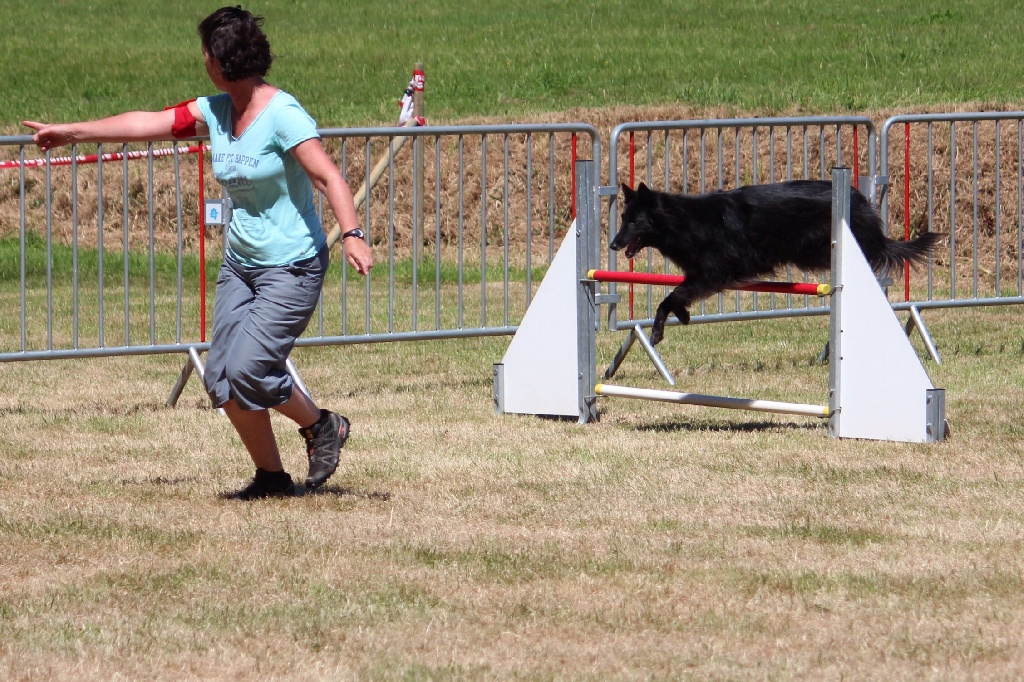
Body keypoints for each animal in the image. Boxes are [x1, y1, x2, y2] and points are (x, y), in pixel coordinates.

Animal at [610, 179, 937, 342]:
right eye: (623, 218)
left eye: (634, 222)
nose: (613, 245)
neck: (684, 220)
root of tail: (858, 200)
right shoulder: (700, 275)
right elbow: (673, 296)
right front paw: (680, 316)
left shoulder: (713, 274)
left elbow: (673, 295)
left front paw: (662, 327)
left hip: (815, 249)